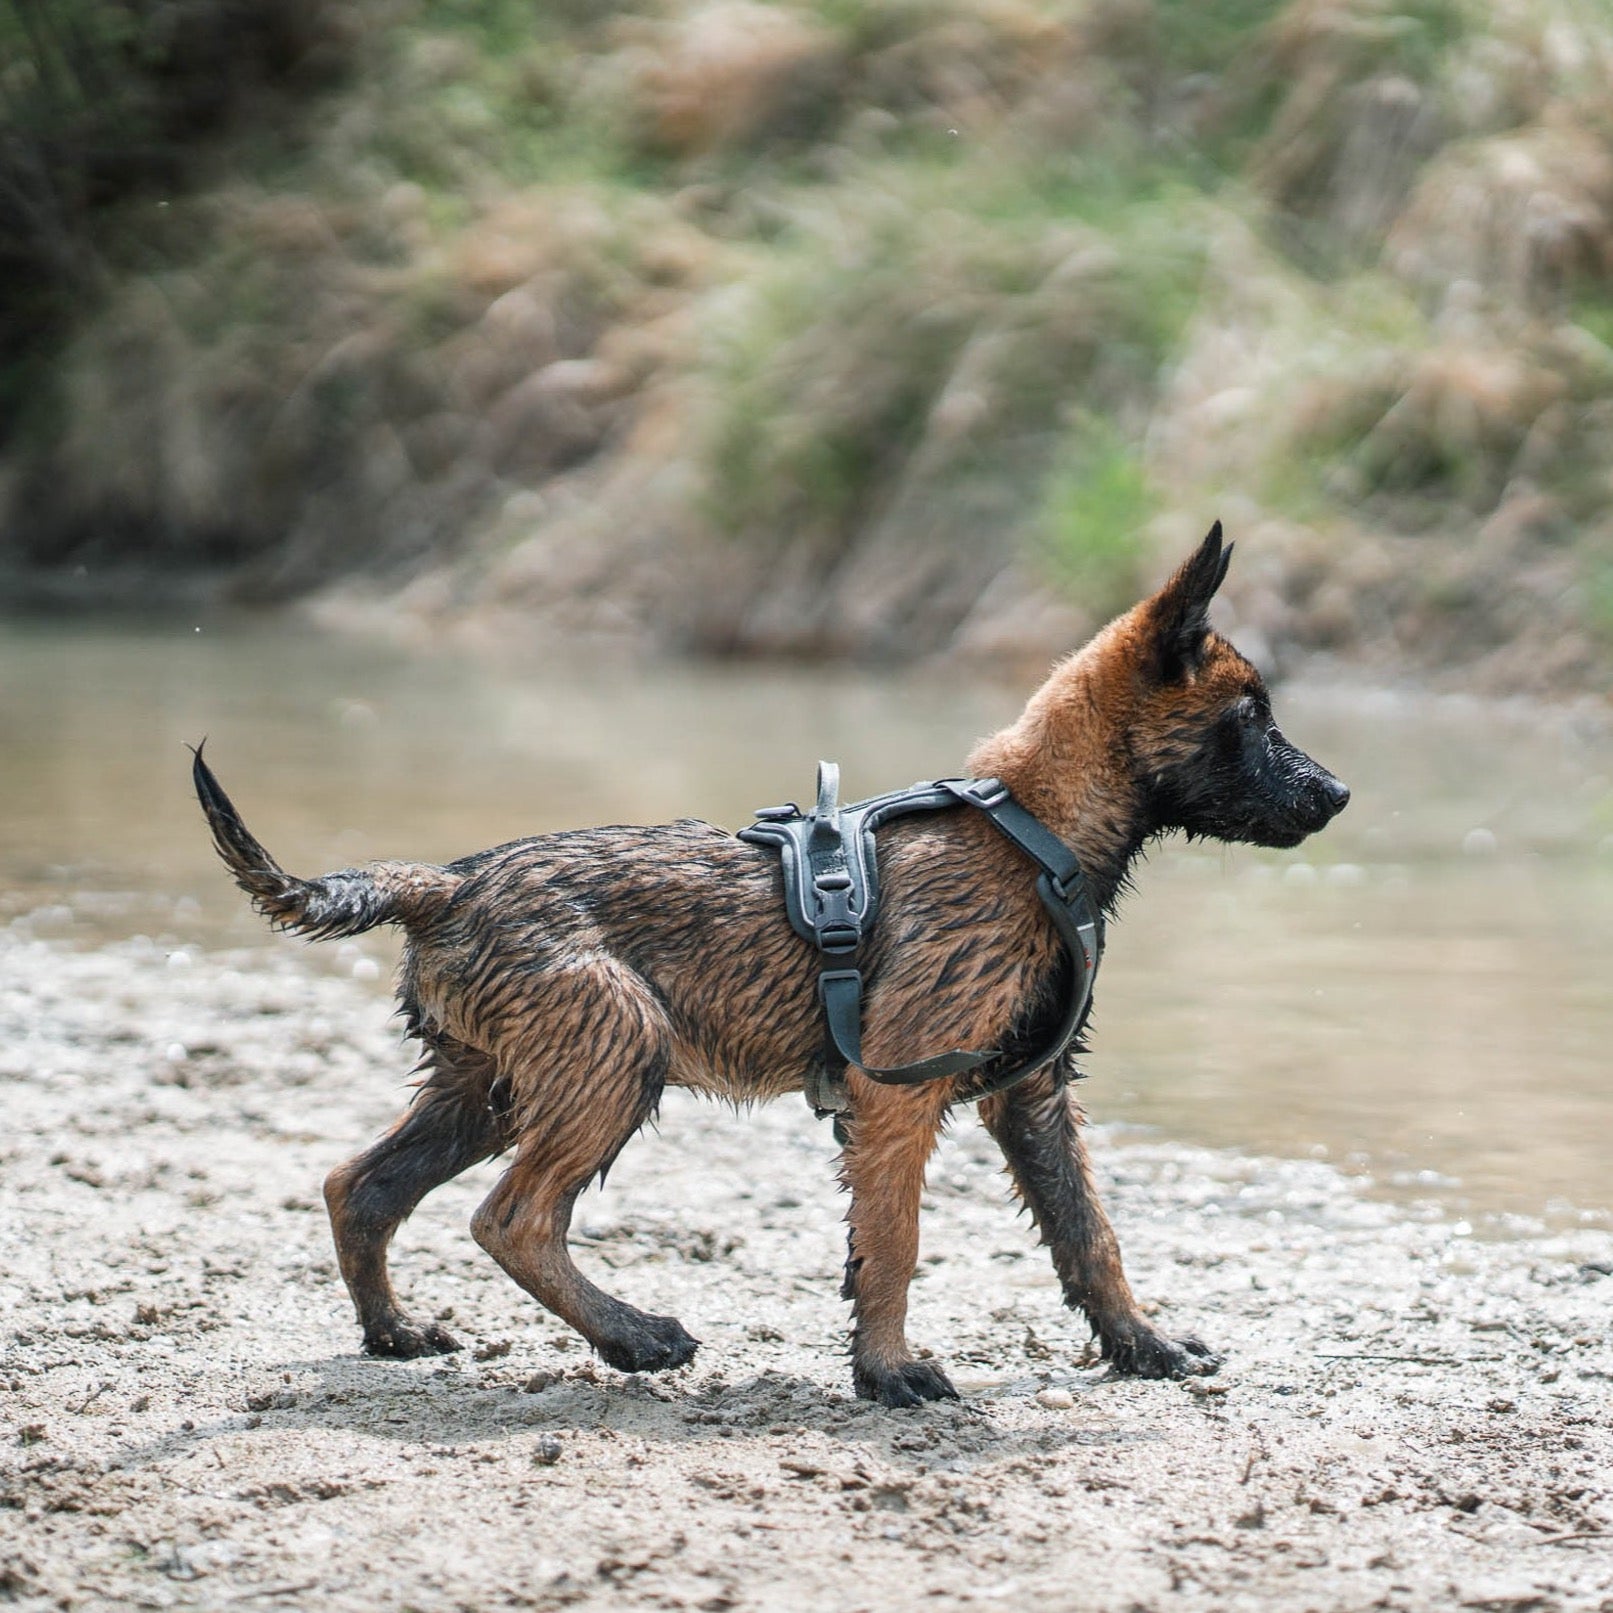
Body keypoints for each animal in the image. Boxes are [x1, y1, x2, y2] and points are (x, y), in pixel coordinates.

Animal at [191, 525, 1348, 1400]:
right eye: (1249, 717)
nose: (1335, 794)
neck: (1030, 831)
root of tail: (448, 882)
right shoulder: (896, 1095)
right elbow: (894, 1240)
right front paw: (888, 1370)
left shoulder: (1032, 1096)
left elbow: (1088, 1235)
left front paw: (1143, 1345)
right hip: (615, 1046)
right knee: (511, 1217)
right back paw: (634, 1334)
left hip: (487, 1083)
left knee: (362, 1186)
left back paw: (394, 1331)